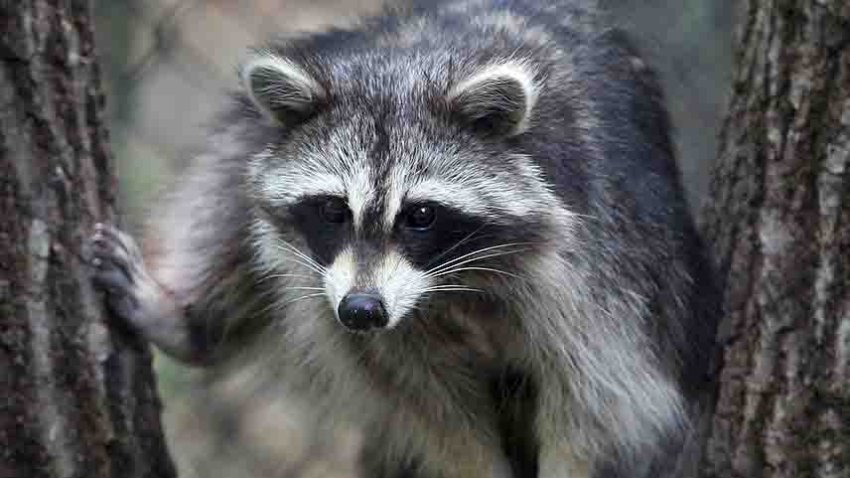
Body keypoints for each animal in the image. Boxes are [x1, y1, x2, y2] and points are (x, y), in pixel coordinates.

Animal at [91, 1, 716, 476]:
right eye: (332, 211)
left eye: (420, 216)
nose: (362, 310)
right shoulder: (367, 319)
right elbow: (428, 404)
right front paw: (475, 466)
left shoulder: (599, 271)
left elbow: (601, 405)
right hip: (264, 125)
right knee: (227, 184)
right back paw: (189, 324)